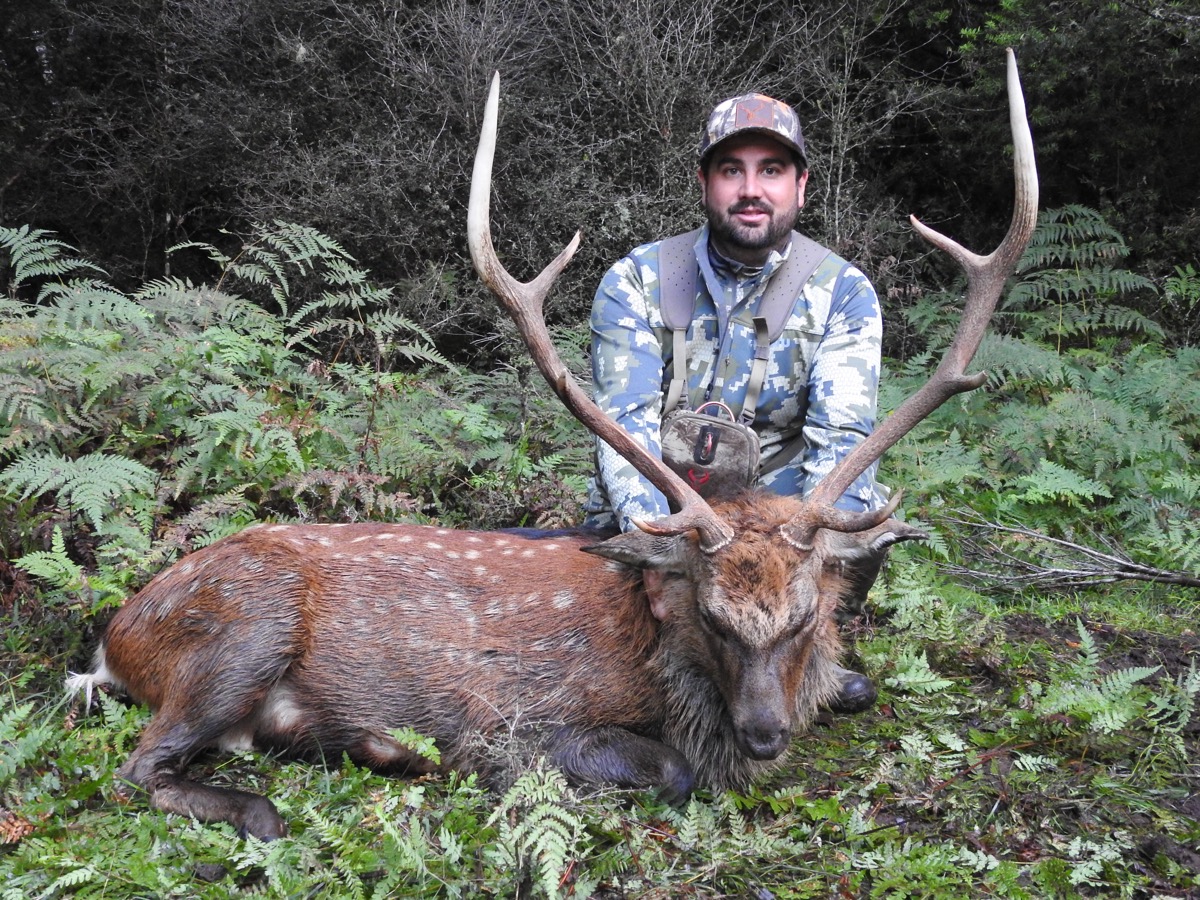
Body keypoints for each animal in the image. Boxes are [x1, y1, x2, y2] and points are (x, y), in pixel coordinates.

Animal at [67, 50, 1038, 841]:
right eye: (715, 617)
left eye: (805, 618)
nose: (763, 735)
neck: (660, 665)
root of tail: (115, 638)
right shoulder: (512, 718)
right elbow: (665, 770)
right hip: (240, 631)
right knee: (137, 769)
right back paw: (276, 801)